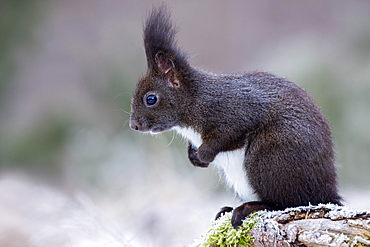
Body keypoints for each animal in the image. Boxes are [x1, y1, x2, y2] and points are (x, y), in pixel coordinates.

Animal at [129, 4, 342, 229]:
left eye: (151, 99)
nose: (134, 125)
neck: (195, 101)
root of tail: (327, 193)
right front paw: (194, 157)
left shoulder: (235, 111)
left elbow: (227, 135)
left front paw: (203, 155)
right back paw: (227, 209)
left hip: (270, 157)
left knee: (287, 202)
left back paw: (248, 208)